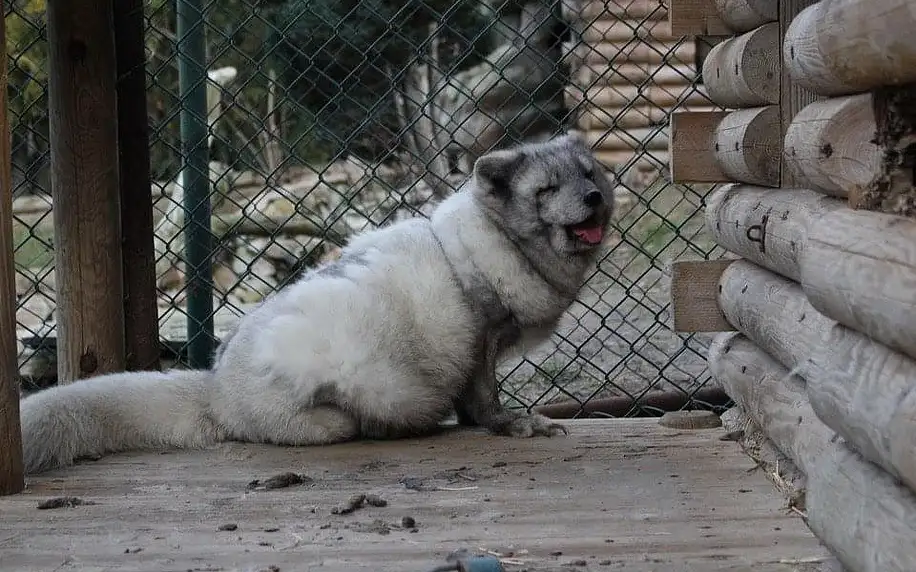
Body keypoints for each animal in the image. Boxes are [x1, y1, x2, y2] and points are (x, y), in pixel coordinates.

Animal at [17, 133, 616, 474]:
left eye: (591, 175)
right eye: (546, 190)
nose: (592, 198)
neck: (494, 242)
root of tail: (215, 386)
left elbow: (473, 408)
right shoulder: (481, 337)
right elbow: (485, 402)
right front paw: (515, 425)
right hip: (329, 412)